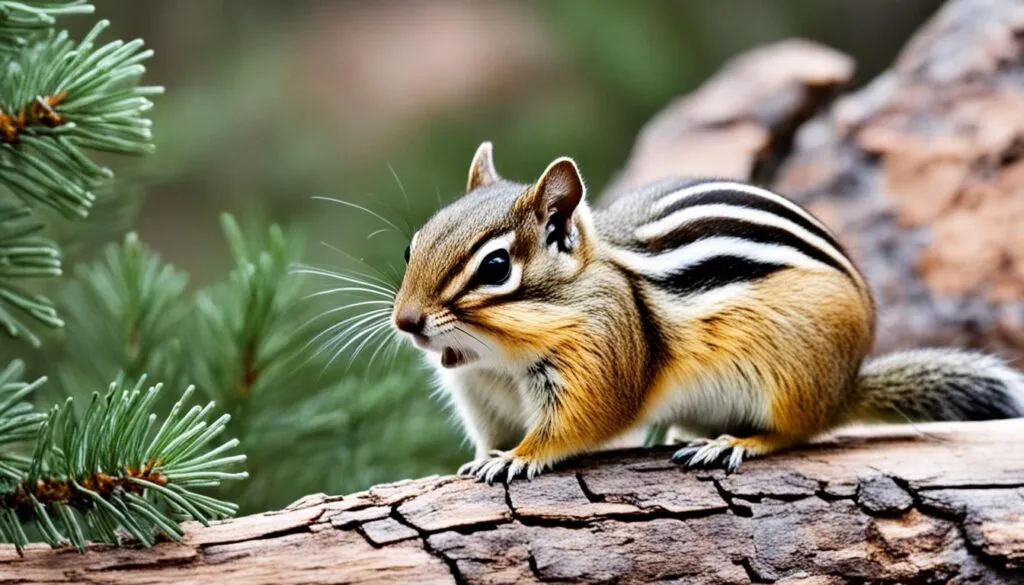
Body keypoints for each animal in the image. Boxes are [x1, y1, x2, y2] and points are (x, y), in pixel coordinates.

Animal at [390, 141, 1024, 483]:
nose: (405, 322)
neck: (496, 358)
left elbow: (576, 427)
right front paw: (477, 460)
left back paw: (736, 443)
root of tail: (846, 384)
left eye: (496, 267)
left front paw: (517, 459)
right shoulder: (481, 397)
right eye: (411, 246)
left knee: (796, 431)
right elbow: (487, 438)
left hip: (791, 376)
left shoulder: (599, 361)